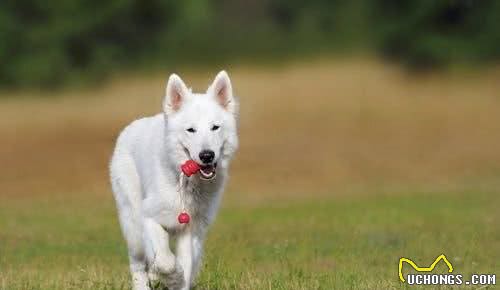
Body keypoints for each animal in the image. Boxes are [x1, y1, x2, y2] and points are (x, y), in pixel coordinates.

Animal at [110, 71, 239, 290]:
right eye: (191, 130)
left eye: (215, 127)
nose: (207, 155)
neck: (186, 182)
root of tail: (130, 127)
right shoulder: (149, 218)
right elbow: (165, 261)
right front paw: (168, 276)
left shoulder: (190, 230)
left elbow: (184, 263)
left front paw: (177, 279)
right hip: (133, 226)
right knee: (138, 264)